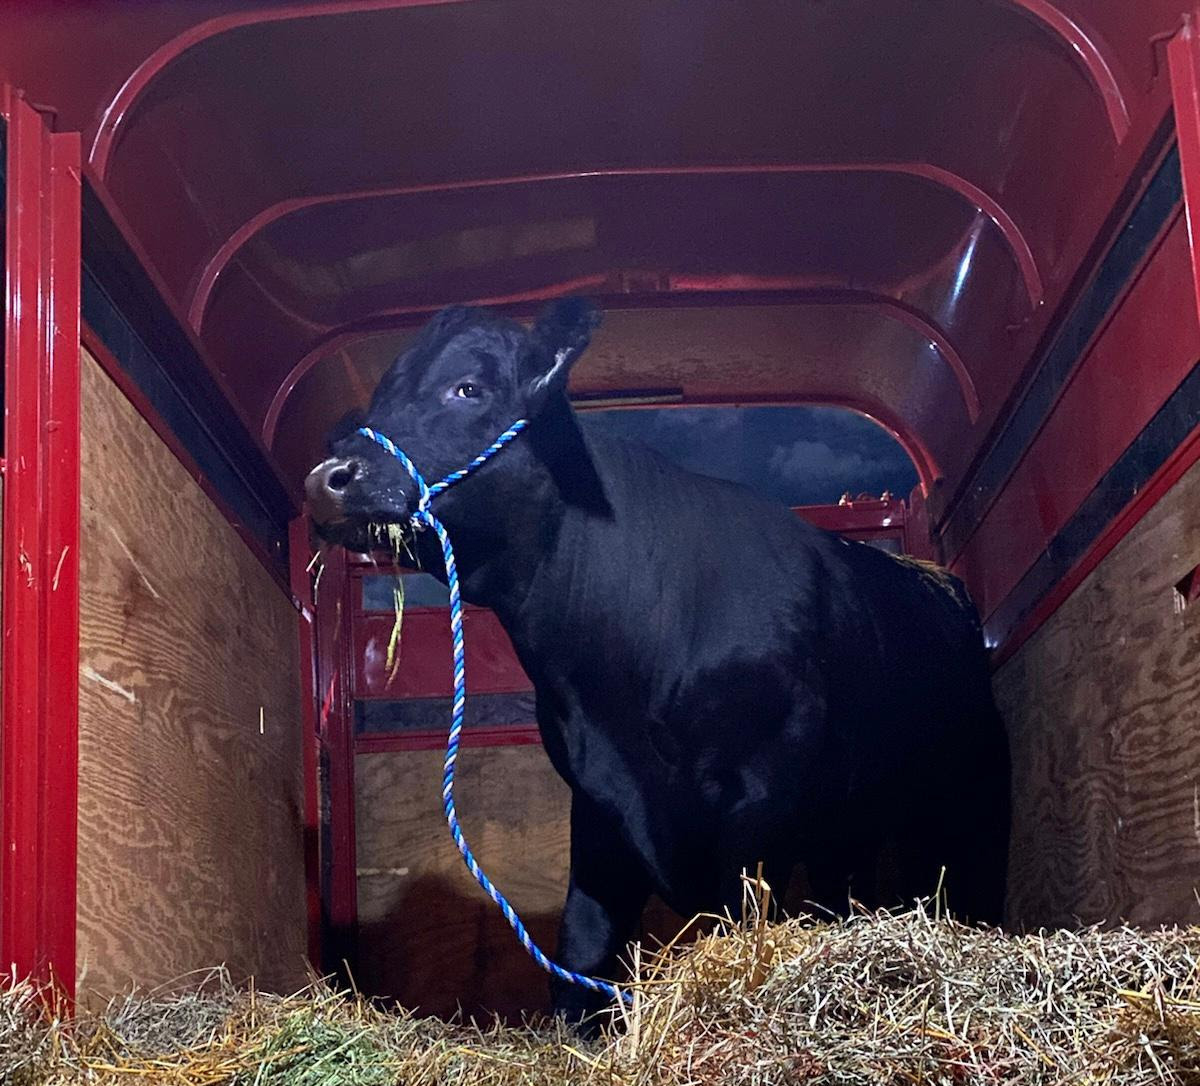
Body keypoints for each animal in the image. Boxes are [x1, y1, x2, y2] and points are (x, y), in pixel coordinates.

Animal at [305, 298, 1011, 1027]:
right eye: (379, 397)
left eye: (467, 388)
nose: (327, 481)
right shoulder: (597, 800)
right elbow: (585, 942)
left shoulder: (759, 801)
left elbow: (738, 919)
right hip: (849, 821)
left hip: (969, 790)